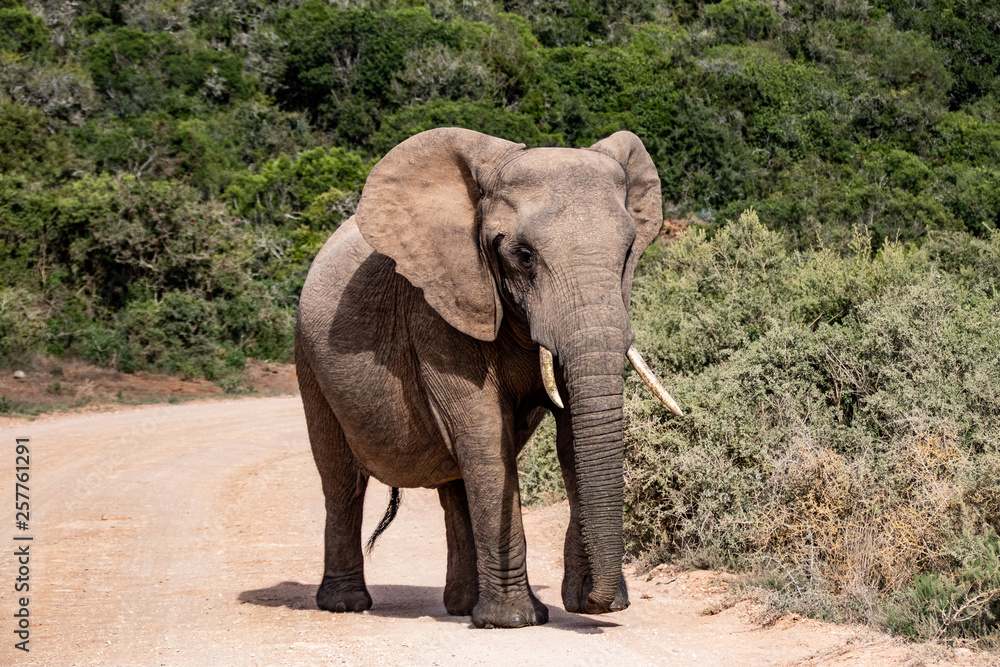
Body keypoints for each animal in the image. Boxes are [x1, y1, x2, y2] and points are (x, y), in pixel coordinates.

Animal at [294, 127, 682, 629]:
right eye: (523, 255)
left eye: (628, 252)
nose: (602, 602)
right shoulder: (438, 309)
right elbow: (485, 435)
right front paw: (517, 621)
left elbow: (570, 439)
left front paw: (587, 604)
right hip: (308, 359)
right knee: (342, 479)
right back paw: (347, 604)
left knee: (456, 482)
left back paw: (462, 606)